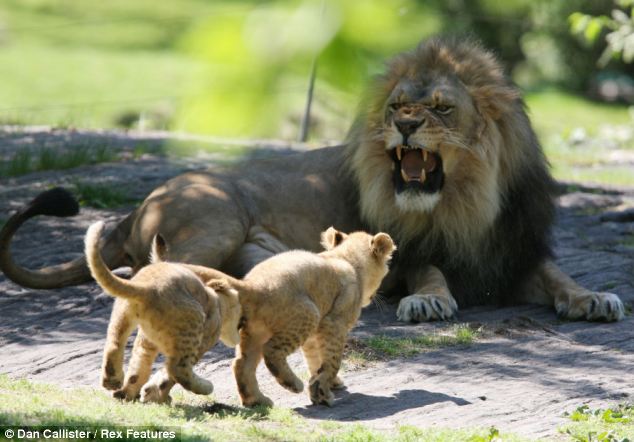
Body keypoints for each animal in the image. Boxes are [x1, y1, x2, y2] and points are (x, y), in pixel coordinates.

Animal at [0, 37, 624, 322]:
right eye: (396, 104)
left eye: (441, 108)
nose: (404, 124)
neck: (464, 204)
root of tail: (134, 208)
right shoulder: (410, 253)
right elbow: (429, 272)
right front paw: (429, 302)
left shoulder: (513, 249)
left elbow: (558, 275)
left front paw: (593, 296)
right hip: (217, 217)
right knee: (150, 272)